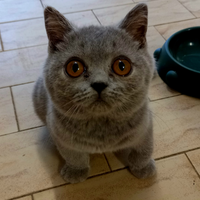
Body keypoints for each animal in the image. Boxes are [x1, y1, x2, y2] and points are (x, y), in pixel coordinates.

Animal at [32, 3, 156, 184]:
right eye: (74, 67)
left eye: (122, 66)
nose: (99, 84)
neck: (101, 129)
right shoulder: (60, 135)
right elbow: (74, 155)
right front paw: (76, 172)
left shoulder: (146, 125)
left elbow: (144, 149)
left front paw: (143, 168)